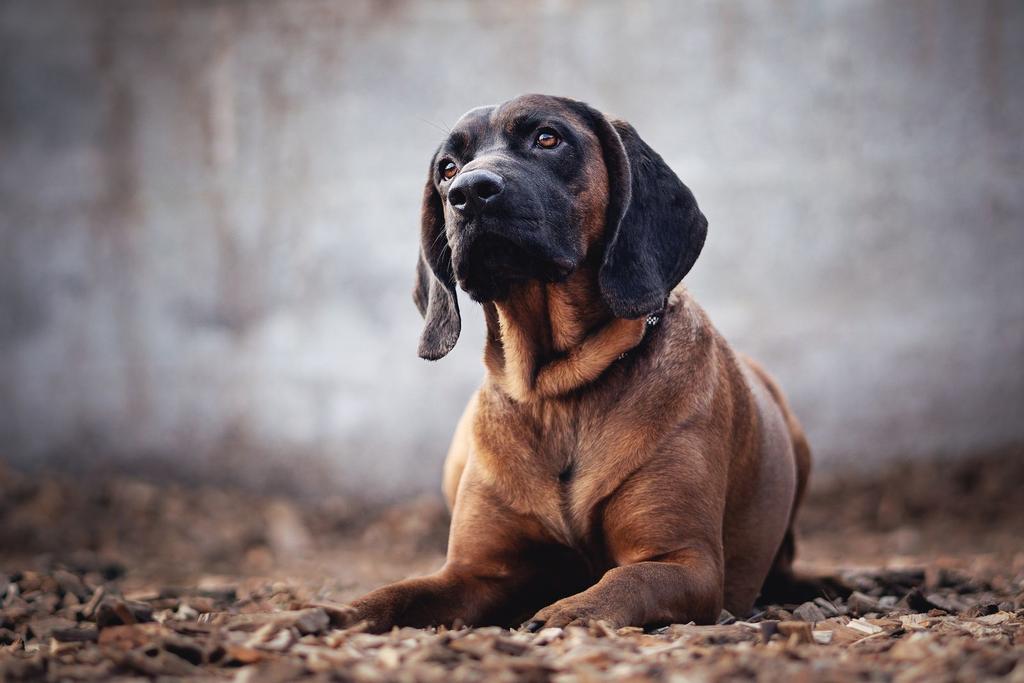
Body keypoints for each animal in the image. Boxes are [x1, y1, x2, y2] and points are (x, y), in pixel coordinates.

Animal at [348, 93, 811, 634]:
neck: (557, 390)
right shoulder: (474, 573)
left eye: (548, 138)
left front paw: (568, 610)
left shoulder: (685, 562)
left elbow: (626, 579)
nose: (469, 192)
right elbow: (398, 593)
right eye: (447, 168)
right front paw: (338, 612)